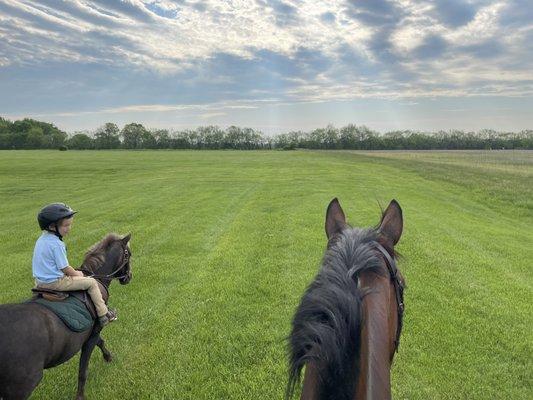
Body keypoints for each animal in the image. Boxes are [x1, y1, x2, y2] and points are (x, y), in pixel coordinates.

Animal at [0, 233, 132, 400]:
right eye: (128, 255)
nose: (129, 277)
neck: (96, 278)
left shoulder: (91, 333)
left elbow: (100, 343)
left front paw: (108, 357)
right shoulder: (93, 333)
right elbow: (83, 371)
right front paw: (80, 396)